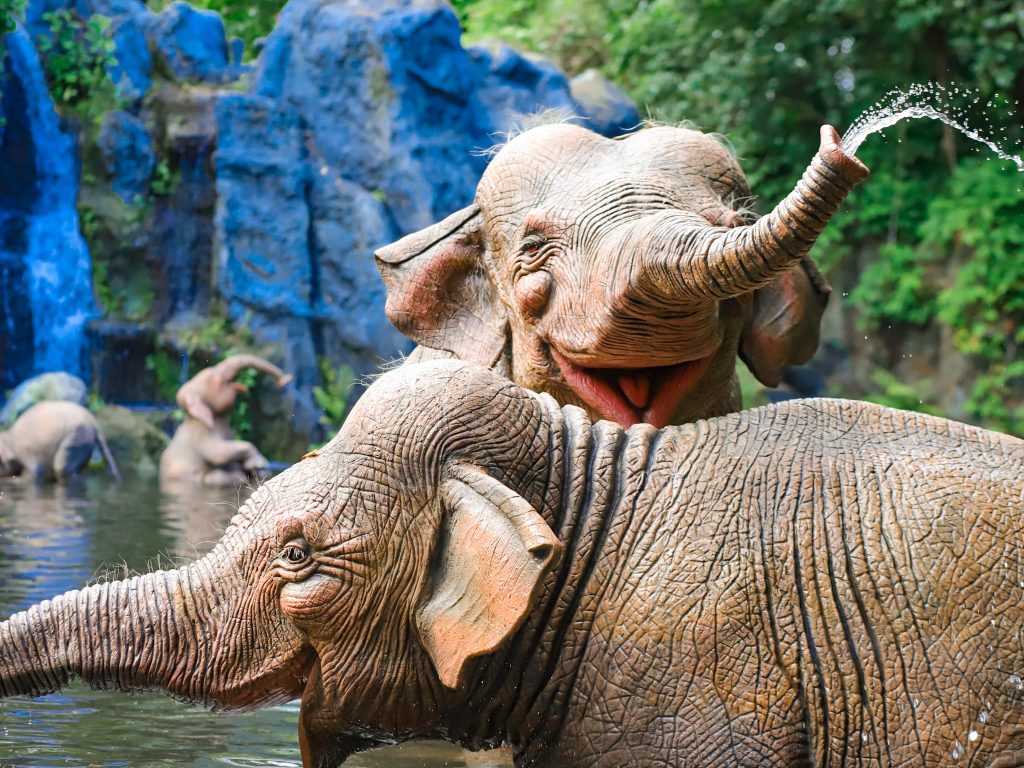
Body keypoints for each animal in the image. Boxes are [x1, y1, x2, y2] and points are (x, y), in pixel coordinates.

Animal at [157, 354, 292, 487]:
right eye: (217, 379)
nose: (285, 380)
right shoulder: (201, 433)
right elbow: (218, 453)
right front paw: (258, 463)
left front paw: (257, 468)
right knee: (222, 477)